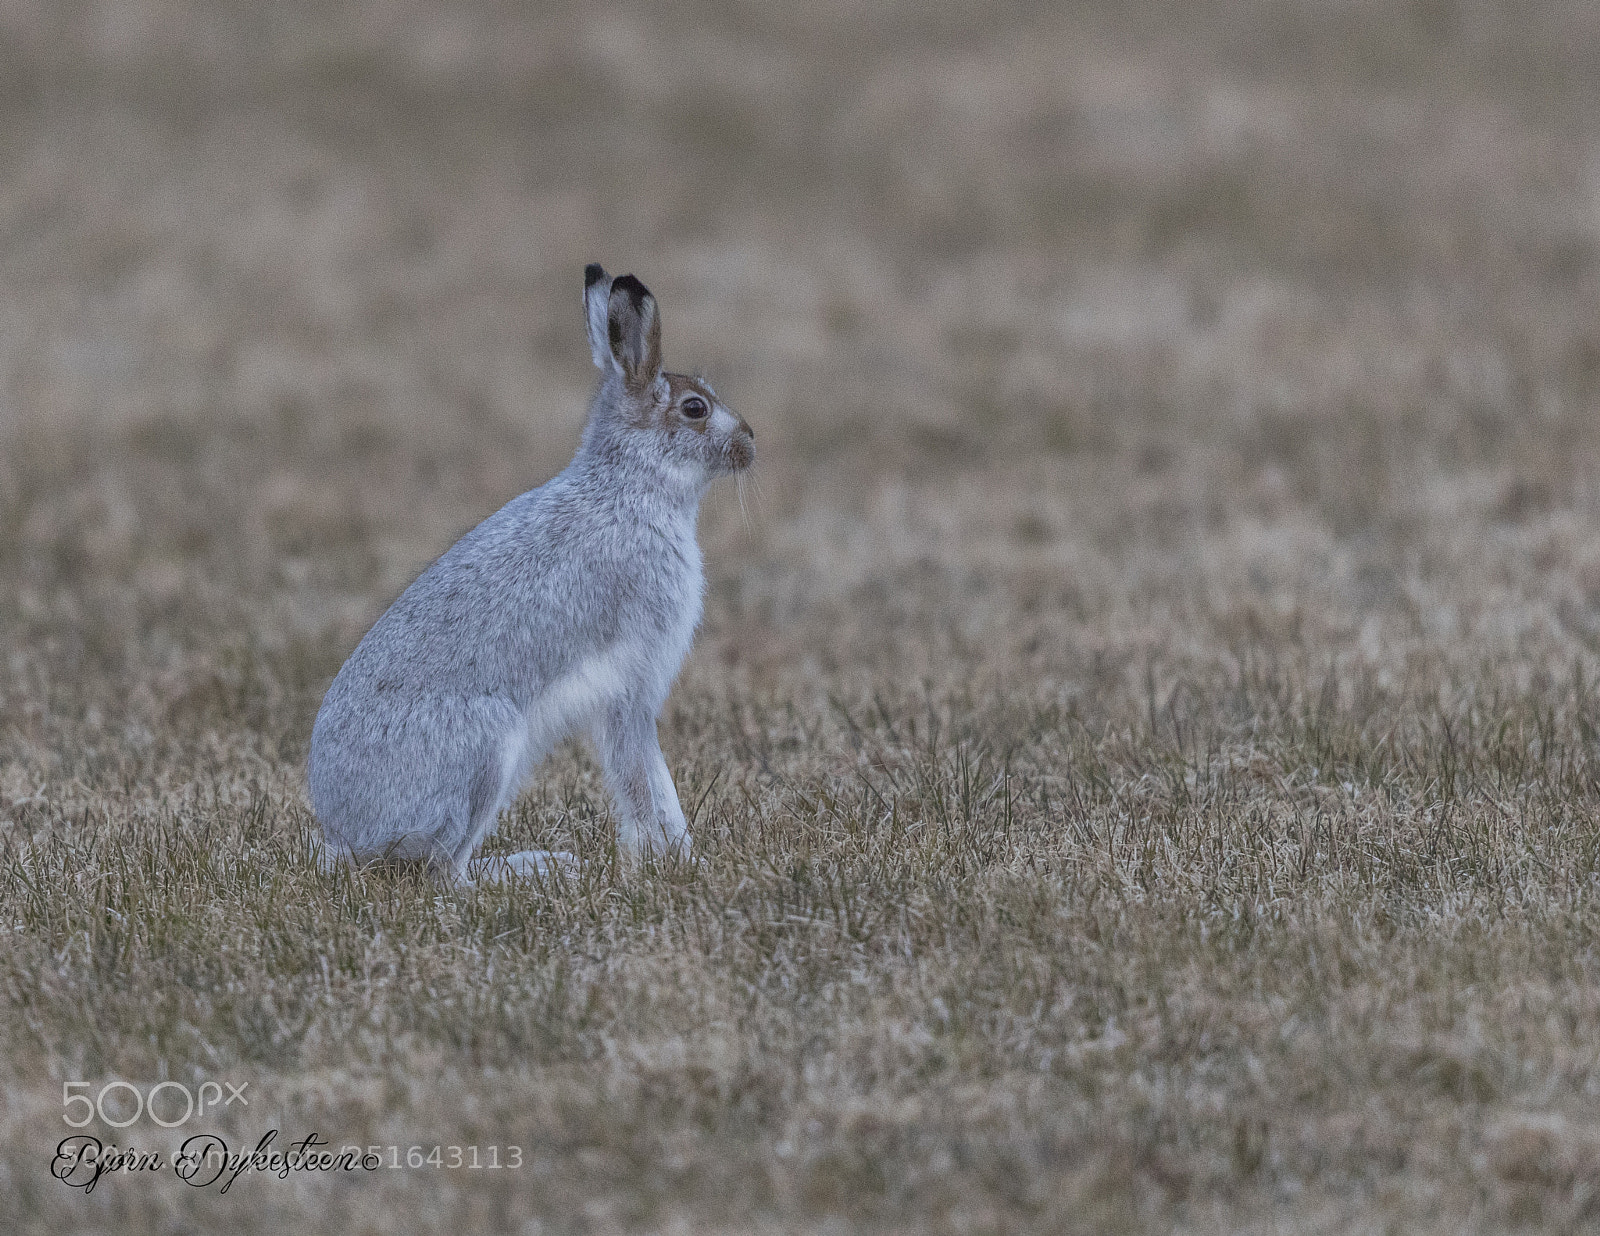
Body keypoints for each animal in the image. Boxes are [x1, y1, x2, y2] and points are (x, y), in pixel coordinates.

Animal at [307, 264, 754, 883]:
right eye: (695, 408)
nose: (751, 442)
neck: (631, 485)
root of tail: (347, 834)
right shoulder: (632, 684)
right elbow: (644, 779)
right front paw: (676, 858)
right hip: (485, 750)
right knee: (447, 873)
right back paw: (539, 868)